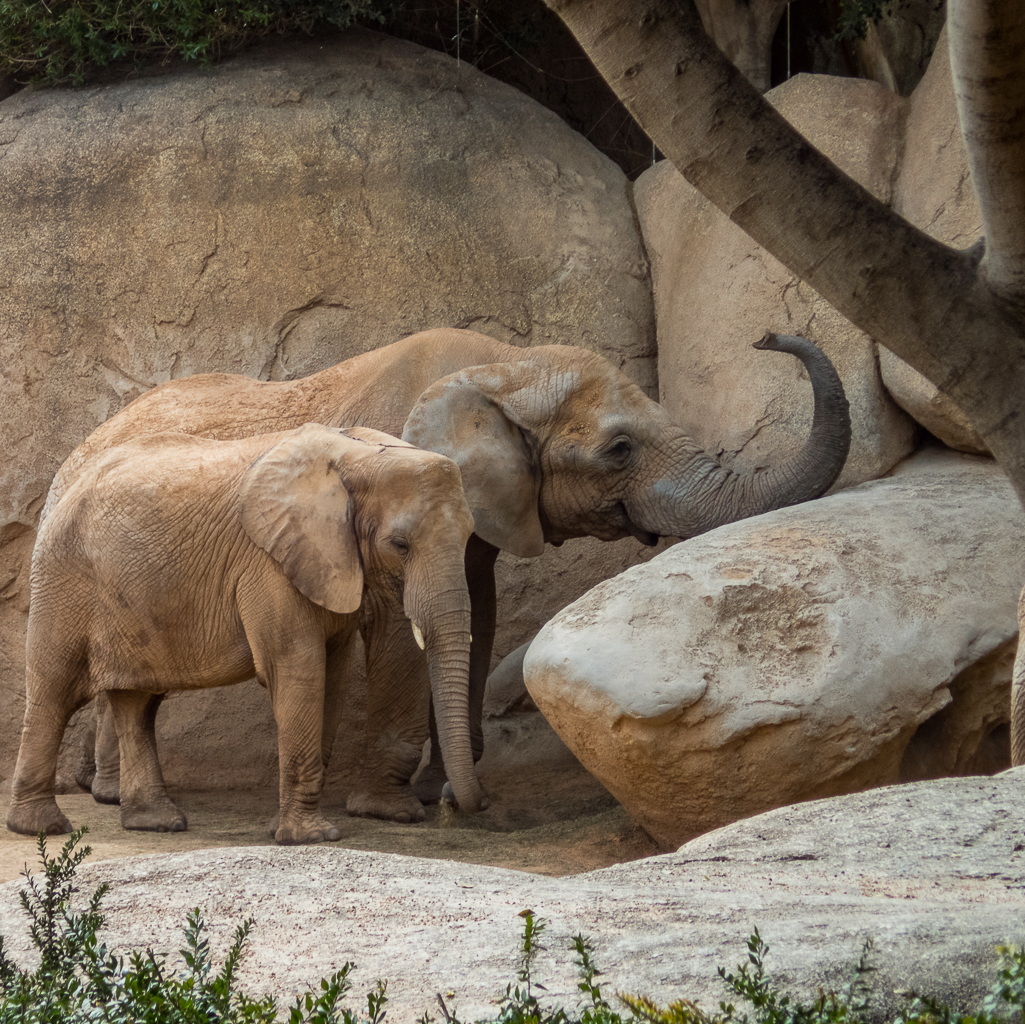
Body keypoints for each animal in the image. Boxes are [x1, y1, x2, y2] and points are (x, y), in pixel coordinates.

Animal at [9, 424, 483, 840]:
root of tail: (66, 481)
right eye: (400, 546)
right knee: (54, 692)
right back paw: (41, 828)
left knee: (137, 703)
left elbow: (332, 673)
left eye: (468, 538)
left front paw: (295, 830)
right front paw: (311, 838)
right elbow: (298, 667)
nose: (450, 802)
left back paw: (157, 823)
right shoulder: (269, 563)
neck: (360, 455)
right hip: (62, 578)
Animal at [46, 328, 848, 824]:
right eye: (618, 449)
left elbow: (476, 615)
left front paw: (440, 793)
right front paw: (397, 810)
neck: (503, 366)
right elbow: (403, 629)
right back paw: (113, 798)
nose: (767, 336)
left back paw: (104, 792)